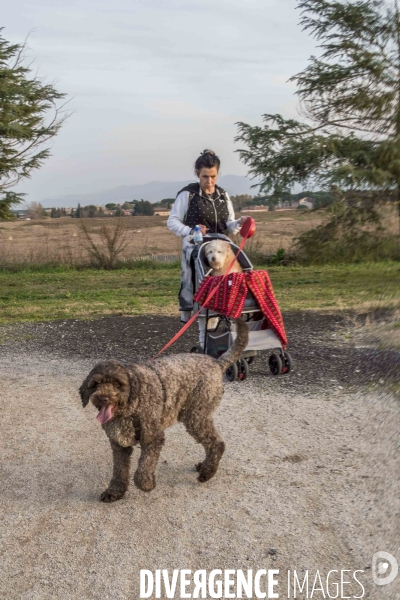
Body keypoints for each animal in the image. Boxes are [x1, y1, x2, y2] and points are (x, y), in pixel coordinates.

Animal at [79, 318, 248, 502]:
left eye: (118, 384)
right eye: (95, 384)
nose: (103, 398)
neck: (128, 410)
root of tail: (216, 363)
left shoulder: (153, 438)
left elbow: (142, 470)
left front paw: (147, 484)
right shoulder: (119, 445)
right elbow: (119, 471)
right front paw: (115, 491)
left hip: (196, 417)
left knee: (216, 443)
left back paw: (207, 472)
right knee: (211, 443)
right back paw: (205, 466)